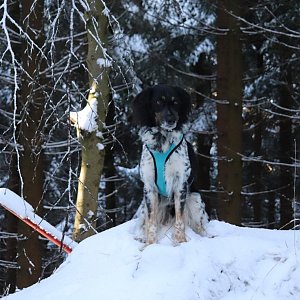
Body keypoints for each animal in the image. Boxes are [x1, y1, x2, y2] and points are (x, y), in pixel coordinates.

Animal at [132, 83, 207, 245]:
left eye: (176, 102)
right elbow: (151, 222)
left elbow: (180, 219)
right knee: (145, 222)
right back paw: (141, 236)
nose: (171, 120)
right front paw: (150, 244)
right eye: (158, 102)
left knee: (200, 226)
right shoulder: (149, 186)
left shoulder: (180, 183)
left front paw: (180, 241)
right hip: (143, 206)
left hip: (195, 199)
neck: (162, 139)